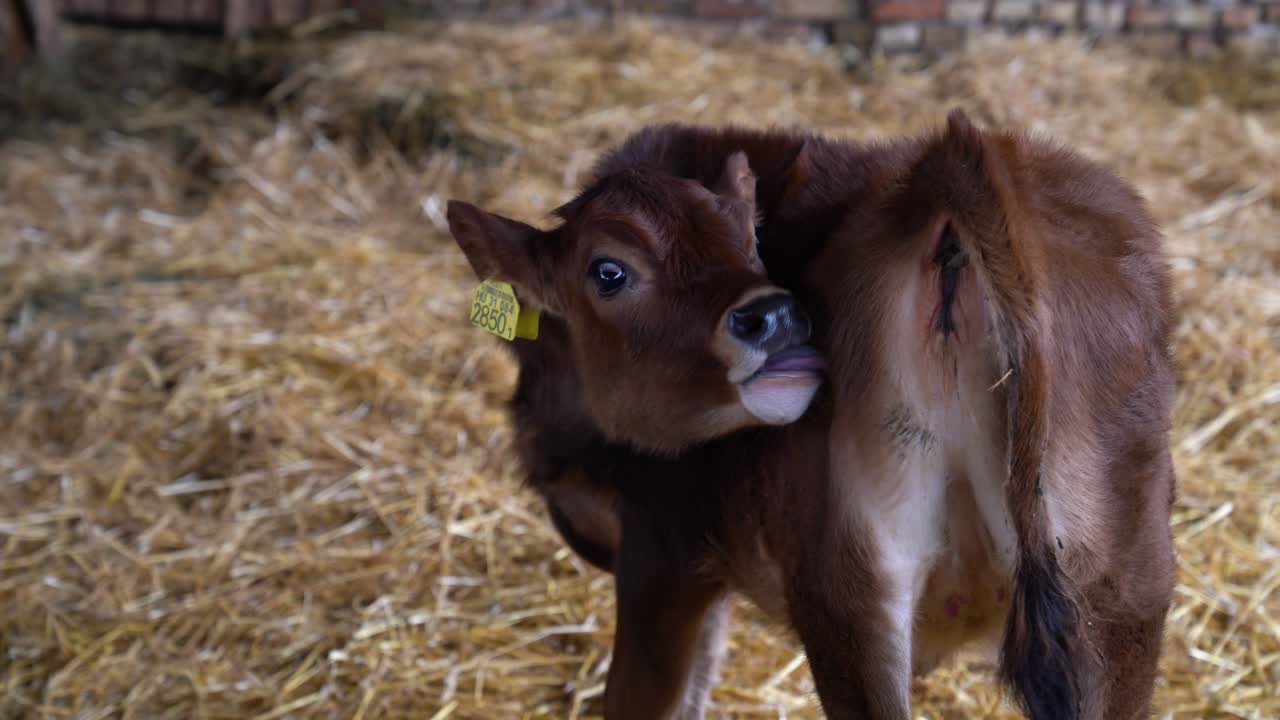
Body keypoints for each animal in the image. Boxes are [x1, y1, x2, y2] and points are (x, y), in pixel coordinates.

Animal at [446, 111, 1177, 720]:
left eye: (748, 235)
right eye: (608, 271)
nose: (775, 314)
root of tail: (955, 163)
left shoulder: (663, 552)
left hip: (848, 591)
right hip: (1122, 590)